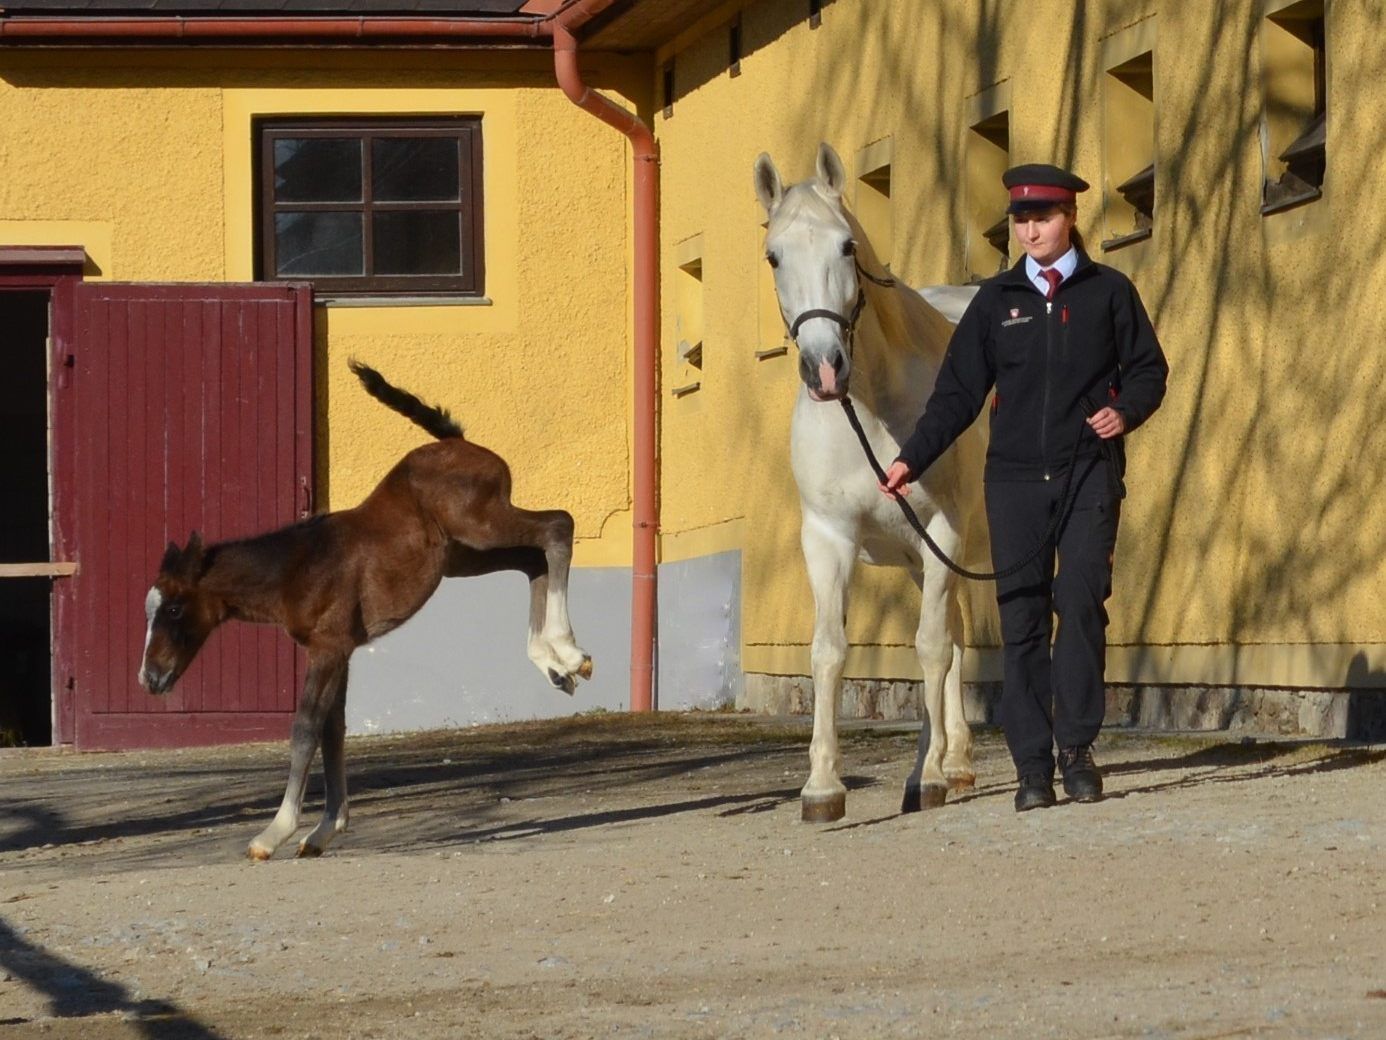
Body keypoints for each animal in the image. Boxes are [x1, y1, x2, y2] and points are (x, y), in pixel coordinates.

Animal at [137, 363, 593, 859]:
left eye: (174, 610)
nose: (149, 677)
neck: (298, 566)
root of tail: (457, 441)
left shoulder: (328, 648)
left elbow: (306, 728)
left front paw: (274, 833)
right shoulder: (340, 652)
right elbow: (334, 731)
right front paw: (323, 831)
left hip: (480, 525)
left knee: (557, 526)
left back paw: (568, 652)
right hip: (466, 553)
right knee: (532, 558)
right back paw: (553, 662)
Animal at [753, 142, 992, 820]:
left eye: (847, 246)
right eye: (774, 255)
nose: (824, 368)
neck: (873, 403)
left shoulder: (942, 528)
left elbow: (929, 647)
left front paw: (927, 777)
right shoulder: (829, 537)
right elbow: (830, 650)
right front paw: (822, 788)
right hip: (924, 559)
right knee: (955, 639)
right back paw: (956, 763)